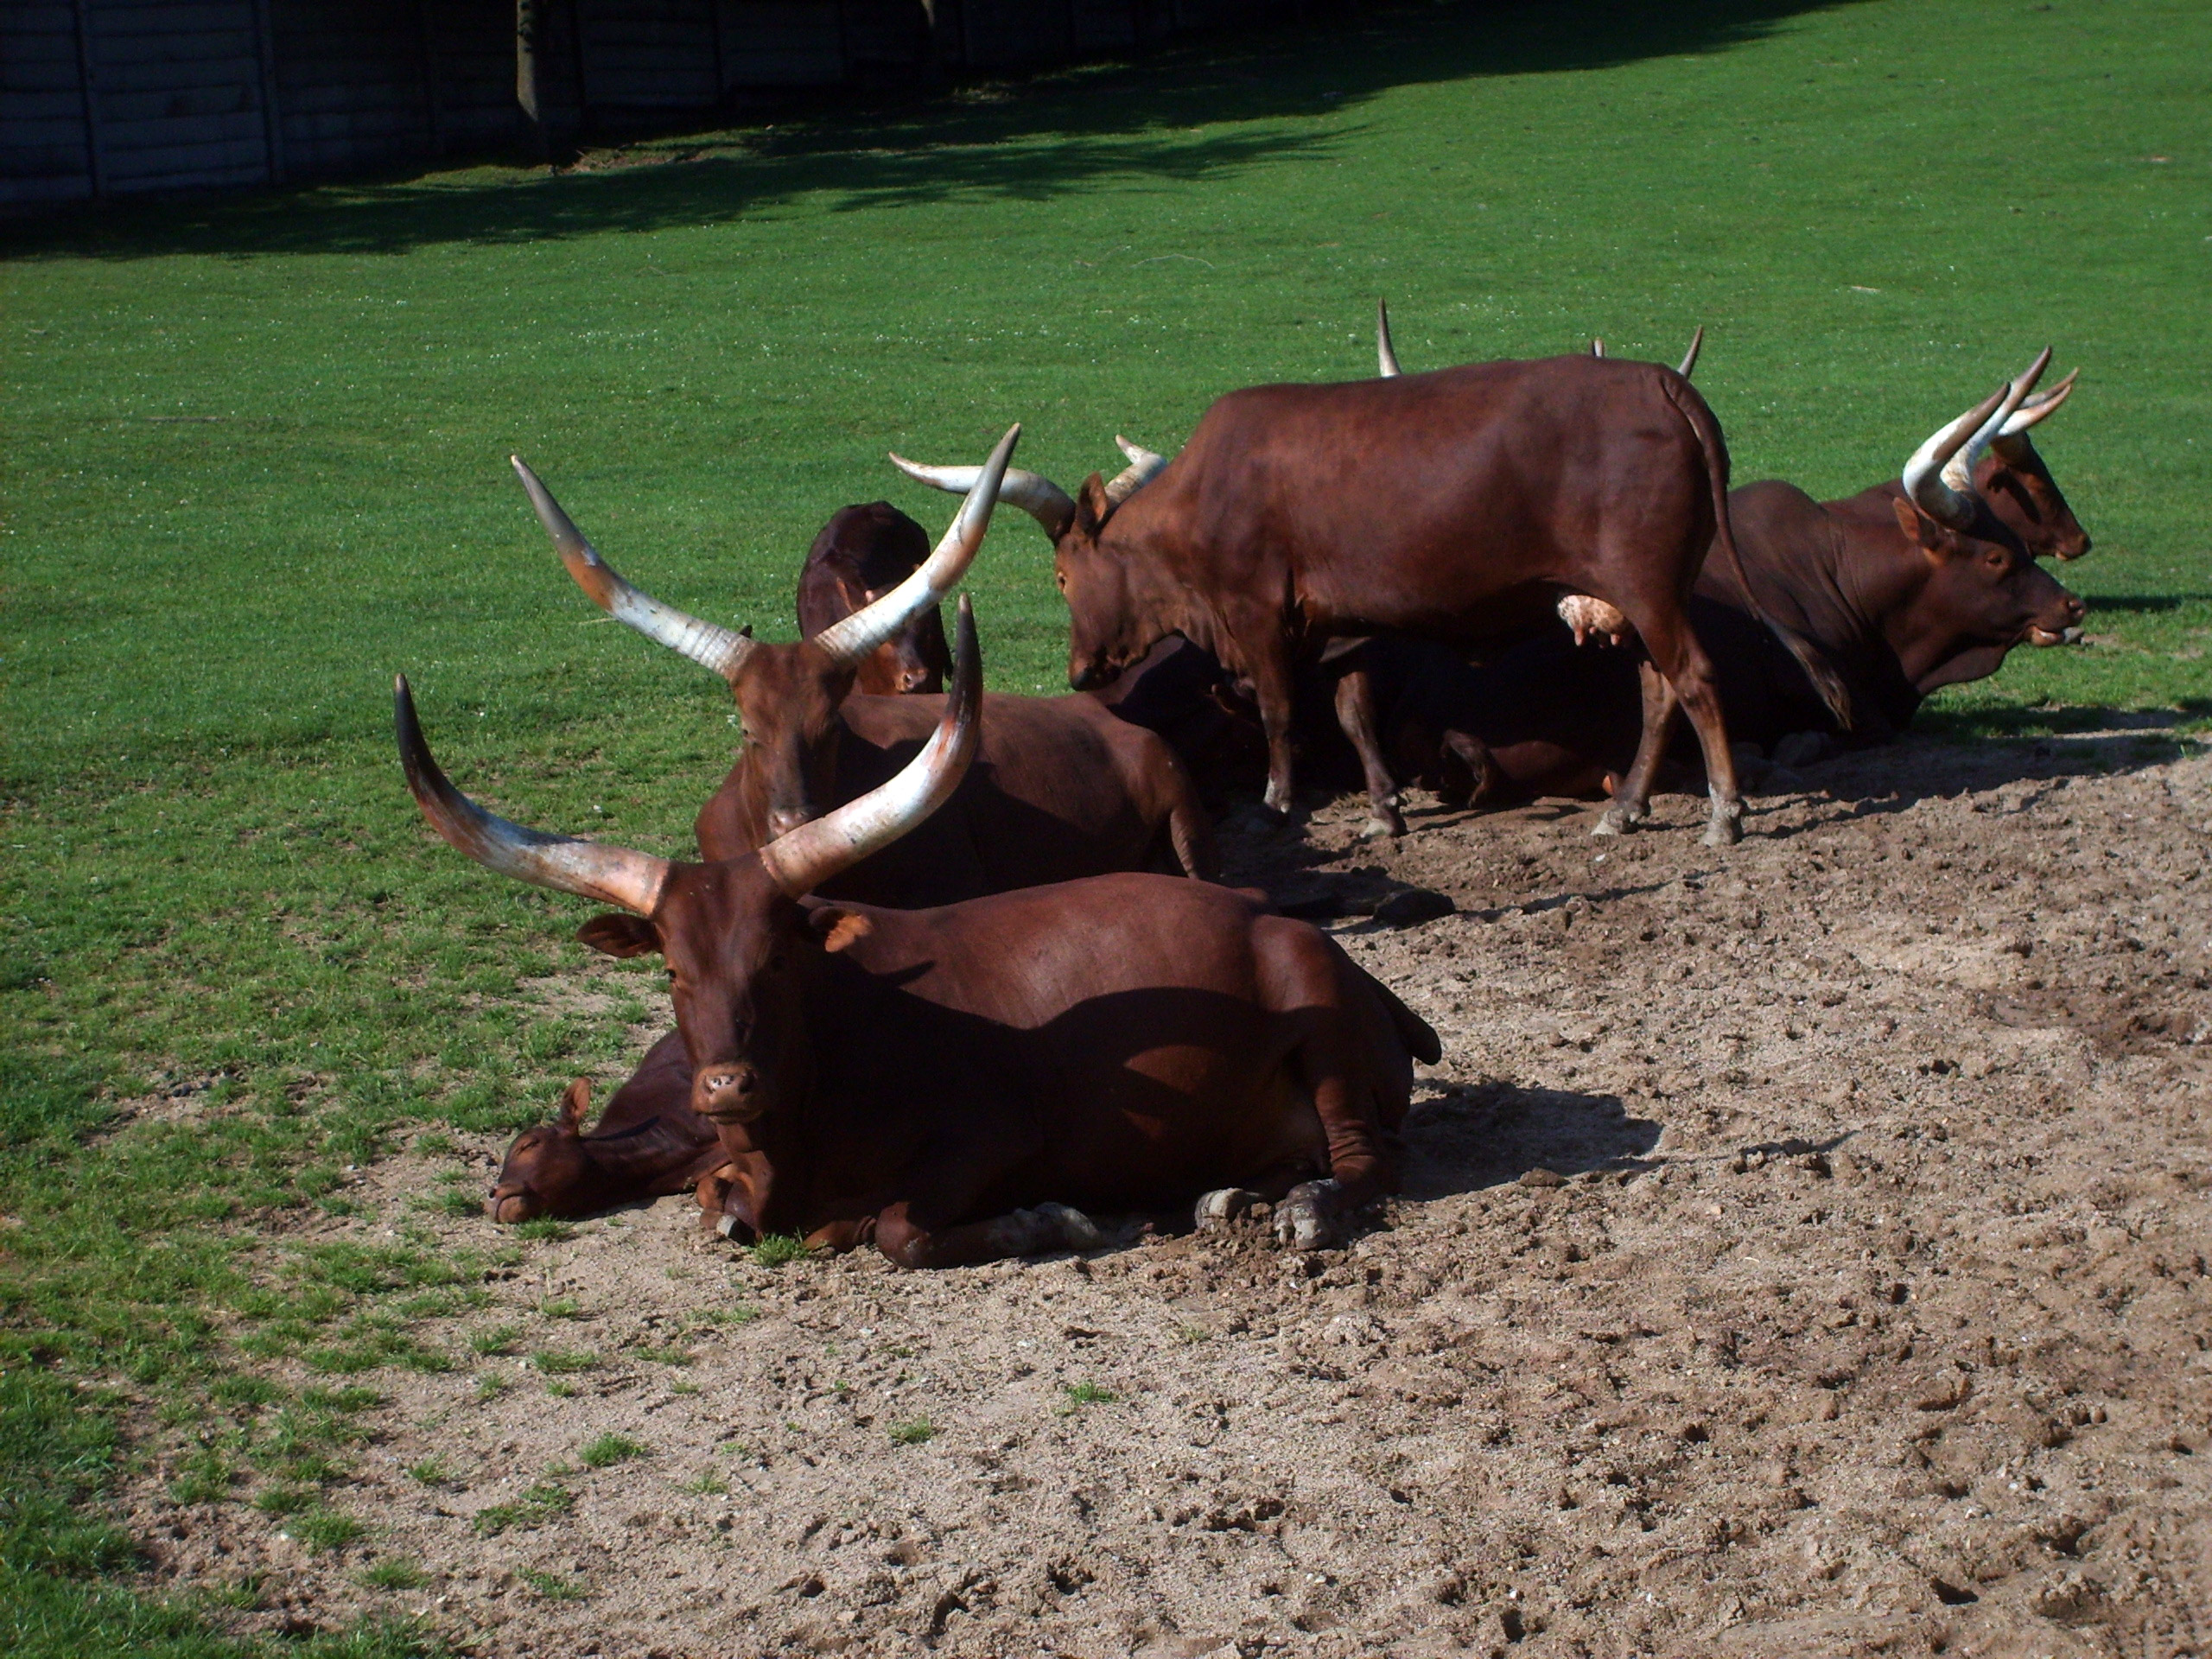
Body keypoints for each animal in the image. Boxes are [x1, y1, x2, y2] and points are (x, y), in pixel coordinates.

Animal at [898, 349, 1849, 849]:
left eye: (1063, 578)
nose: (1079, 671)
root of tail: (1655, 380)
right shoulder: (1340, 626)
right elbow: (1353, 716)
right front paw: (1385, 809)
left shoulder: (1256, 617)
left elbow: (1282, 713)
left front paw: (1279, 804)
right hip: (1645, 598)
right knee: (1658, 693)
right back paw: (1625, 807)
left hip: (1648, 591)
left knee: (1694, 682)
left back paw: (1724, 812)